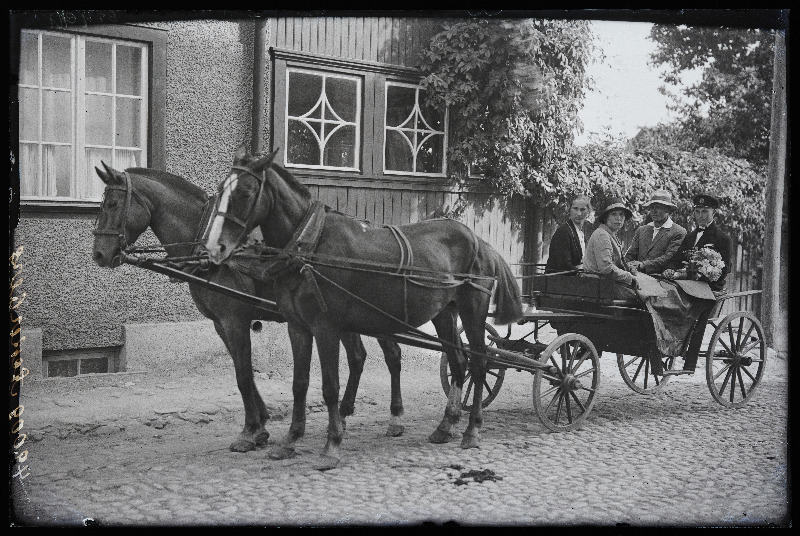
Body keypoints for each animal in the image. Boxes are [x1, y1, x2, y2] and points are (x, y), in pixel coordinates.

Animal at [91, 162, 406, 452]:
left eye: (112, 204)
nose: (99, 254)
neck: (207, 247)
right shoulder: (221, 324)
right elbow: (243, 369)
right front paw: (262, 423)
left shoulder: (235, 320)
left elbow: (243, 375)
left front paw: (250, 431)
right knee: (358, 357)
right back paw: (343, 415)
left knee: (391, 356)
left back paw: (395, 418)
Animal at [203, 144, 520, 466]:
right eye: (220, 190)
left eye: (245, 193)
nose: (214, 247)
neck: (310, 246)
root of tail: (480, 241)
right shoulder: (298, 327)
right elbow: (299, 384)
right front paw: (290, 440)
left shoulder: (326, 327)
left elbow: (330, 386)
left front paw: (332, 444)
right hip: (444, 313)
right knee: (458, 363)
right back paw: (446, 426)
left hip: (473, 311)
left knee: (479, 364)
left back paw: (472, 430)